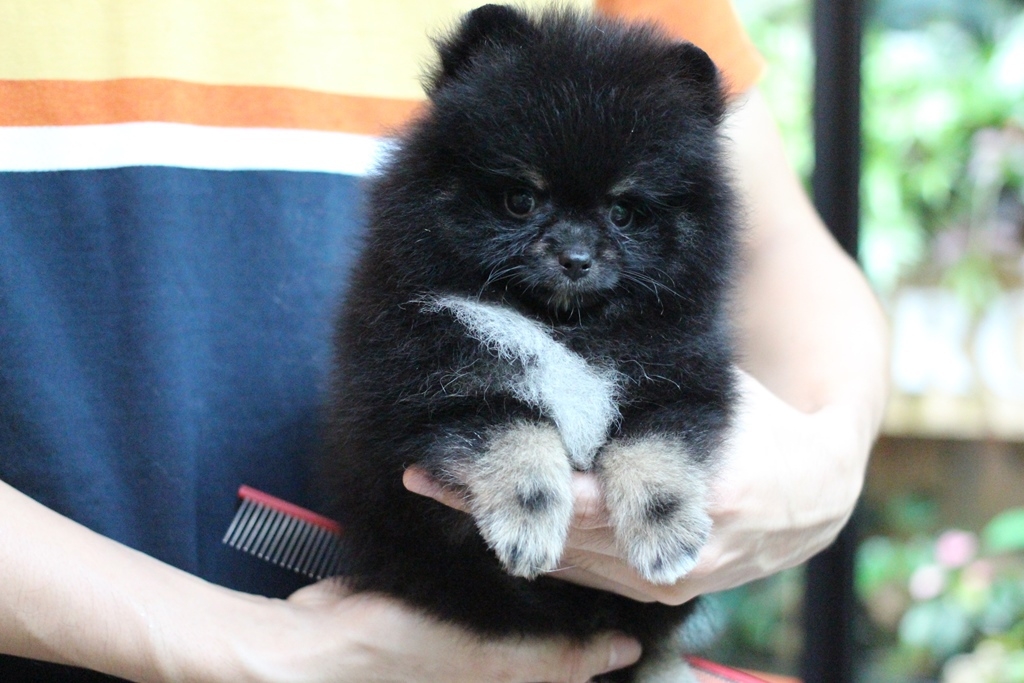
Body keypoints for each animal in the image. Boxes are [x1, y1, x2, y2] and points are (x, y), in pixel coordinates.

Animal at [325, 5, 738, 681]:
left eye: (623, 212)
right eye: (521, 199)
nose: (575, 257)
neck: (563, 326)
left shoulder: (682, 374)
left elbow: (653, 444)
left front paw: (665, 532)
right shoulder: (424, 385)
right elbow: (516, 430)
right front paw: (528, 520)